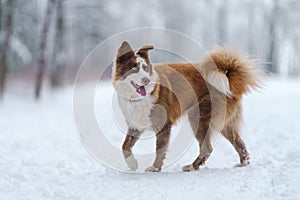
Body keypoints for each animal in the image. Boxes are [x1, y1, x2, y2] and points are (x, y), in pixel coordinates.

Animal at [112, 41, 260, 172]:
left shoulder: (163, 125)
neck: (142, 97)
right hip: (223, 123)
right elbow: (125, 145)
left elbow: (159, 148)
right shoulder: (136, 125)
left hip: (198, 117)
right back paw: (243, 163)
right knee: (239, 143)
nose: (146, 80)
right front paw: (132, 164)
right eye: (134, 68)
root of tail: (228, 77)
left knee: (207, 148)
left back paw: (192, 167)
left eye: (146, 69)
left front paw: (155, 168)